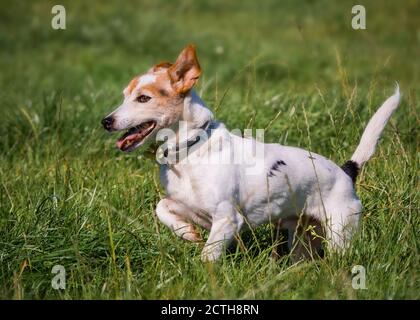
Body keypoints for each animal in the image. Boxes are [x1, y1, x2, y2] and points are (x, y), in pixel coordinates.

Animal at [101, 45, 400, 262]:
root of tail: (346, 172)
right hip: (302, 237)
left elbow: (208, 255)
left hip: (339, 234)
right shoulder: (193, 210)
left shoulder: (226, 220)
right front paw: (186, 233)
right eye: (125, 95)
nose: (106, 121)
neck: (190, 151)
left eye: (143, 98)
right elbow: (162, 207)